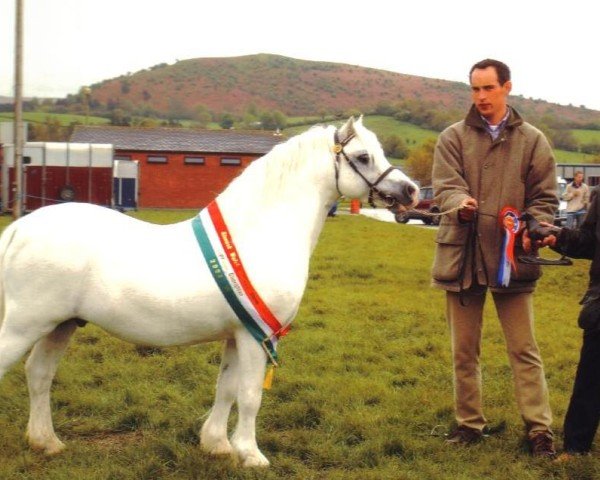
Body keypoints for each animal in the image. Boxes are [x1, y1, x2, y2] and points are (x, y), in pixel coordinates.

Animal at [0, 116, 418, 464]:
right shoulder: (256, 337)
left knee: (39, 374)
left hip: (62, 324)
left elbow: (226, 389)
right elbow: (250, 396)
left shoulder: (238, 333)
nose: (411, 191)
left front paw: (217, 445)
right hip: (25, 324)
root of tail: (20, 227)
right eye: (363, 157)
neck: (258, 234)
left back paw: (47, 442)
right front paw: (251, 455)